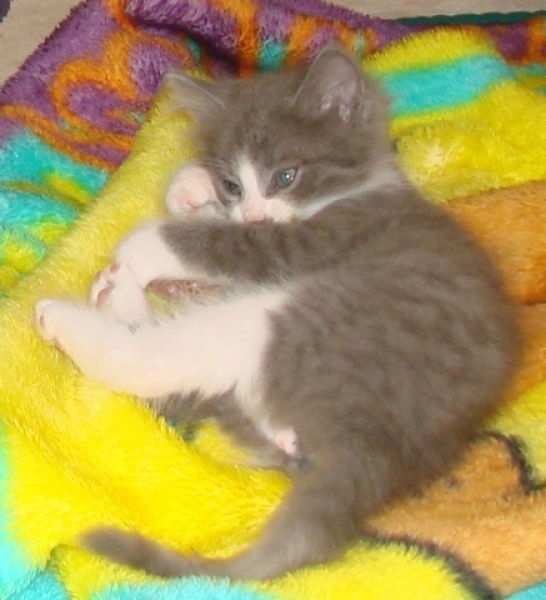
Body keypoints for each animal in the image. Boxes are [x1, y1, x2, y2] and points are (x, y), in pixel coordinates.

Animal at [35, 47, 520, 580]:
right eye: (232, 184)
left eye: (285, 177)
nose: (252, 212)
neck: (357, 189)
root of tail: (375, 445)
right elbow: (211, 229)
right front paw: (191, 187)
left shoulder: (312, 243)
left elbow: (226, 244)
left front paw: (142, 245)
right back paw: (116, 293)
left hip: (292, 321)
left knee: (158, 361)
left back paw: (74, 314)